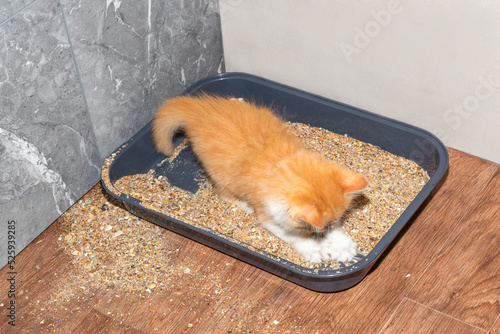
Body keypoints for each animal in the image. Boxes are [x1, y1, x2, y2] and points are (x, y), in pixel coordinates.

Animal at [152, 94, 368, 264]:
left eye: (333, 222)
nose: (327, 228)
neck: (281, 165)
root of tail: (200, 110)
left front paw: (342, 245)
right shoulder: (268, 216)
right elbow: (295, 237)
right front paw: (316, 249)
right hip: (221, 177)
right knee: (224, 194)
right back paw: (243, 205)